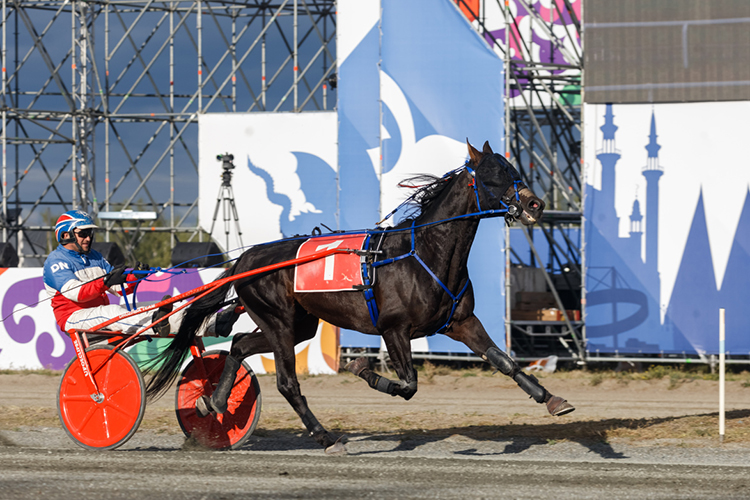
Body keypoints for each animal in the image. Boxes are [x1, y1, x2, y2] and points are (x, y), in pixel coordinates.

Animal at [147, 140, 576, 454]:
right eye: (492, 176)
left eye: (513, 170)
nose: (535, 204)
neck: (424, 253)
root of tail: (246, 258)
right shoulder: (393, 329)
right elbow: (408, 385)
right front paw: (362, 369)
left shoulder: (460, 322)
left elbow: (504, 361)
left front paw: (552, 399)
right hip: (279, 321)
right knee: (287, 382)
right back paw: (325, 437)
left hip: (296, 325)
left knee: (238, 344)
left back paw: (212, 403)